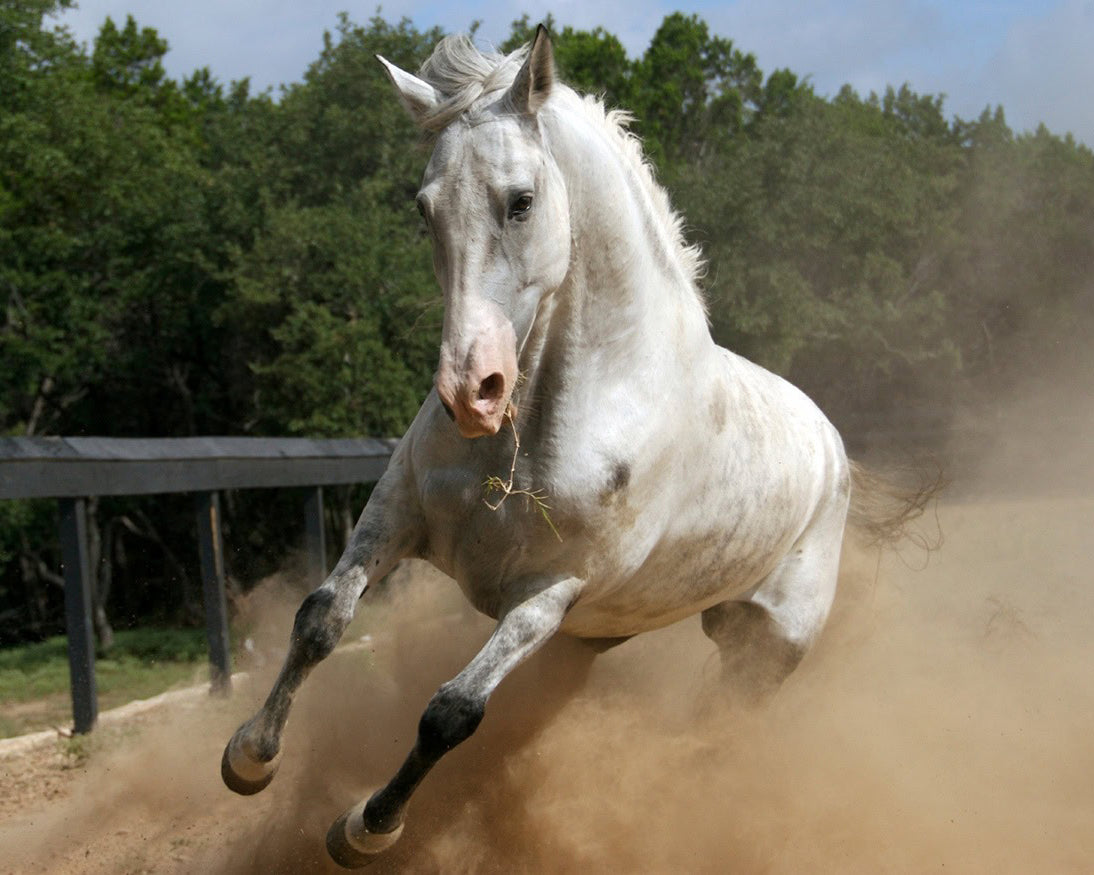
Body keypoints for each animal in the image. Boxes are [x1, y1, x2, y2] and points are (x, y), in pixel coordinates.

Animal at [221, 26, 913, 868]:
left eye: (520, 201)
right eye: (423, 207)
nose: (473, 391)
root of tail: (833, 446)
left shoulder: (549, 592)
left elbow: (451, 712)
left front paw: (366, 826)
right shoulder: (397, 511)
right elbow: (319, 618)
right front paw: (251, 757)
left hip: (767, 647)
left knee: (718, 730)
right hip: (604, 633)